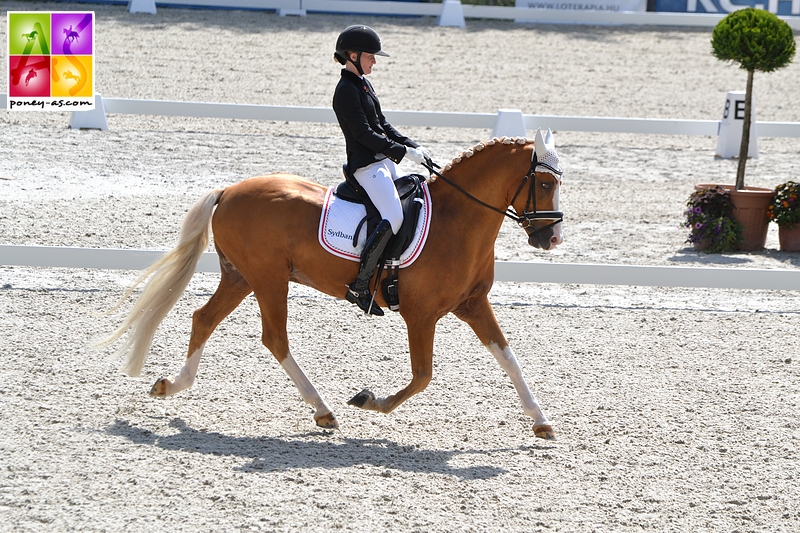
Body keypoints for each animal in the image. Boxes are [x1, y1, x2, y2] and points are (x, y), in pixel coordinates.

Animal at [95, 128, 564, 436]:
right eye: (544, 182)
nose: (552, 239)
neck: (457, 222)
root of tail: (228, 191)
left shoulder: (473, 305)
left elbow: (508, 358)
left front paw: (541, 420)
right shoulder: (420, 316)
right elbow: (423, 376)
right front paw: (370, 401)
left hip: (242, 277)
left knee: (203, 319)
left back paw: (171, 385)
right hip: (268, 280)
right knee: (274, 338)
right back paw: (323, 410)